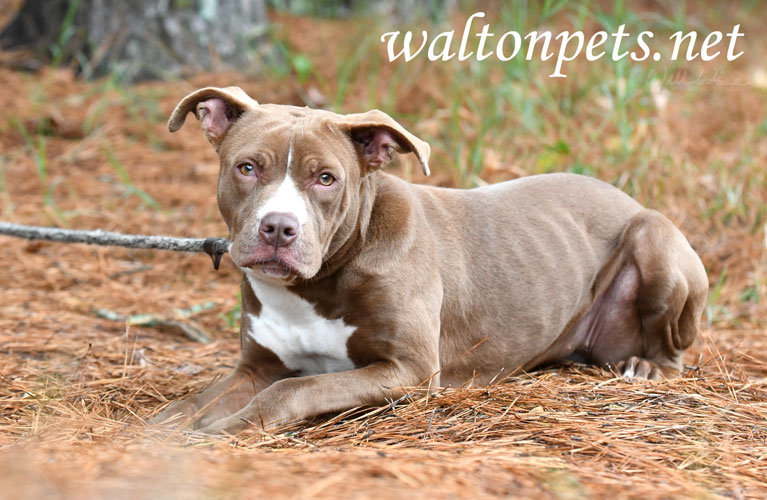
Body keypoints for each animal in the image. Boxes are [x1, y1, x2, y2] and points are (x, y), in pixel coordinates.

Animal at [153, 86, 712, 434]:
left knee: (675, 350)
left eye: (326, 178)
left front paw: (229, 427)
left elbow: (295, 388)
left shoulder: (411, 370)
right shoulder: (255, 367)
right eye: (247, 168)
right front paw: (160, 427)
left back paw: (647, 367)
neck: (318, 285)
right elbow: (195, 401)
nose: (277, 228)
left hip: (654, 234)